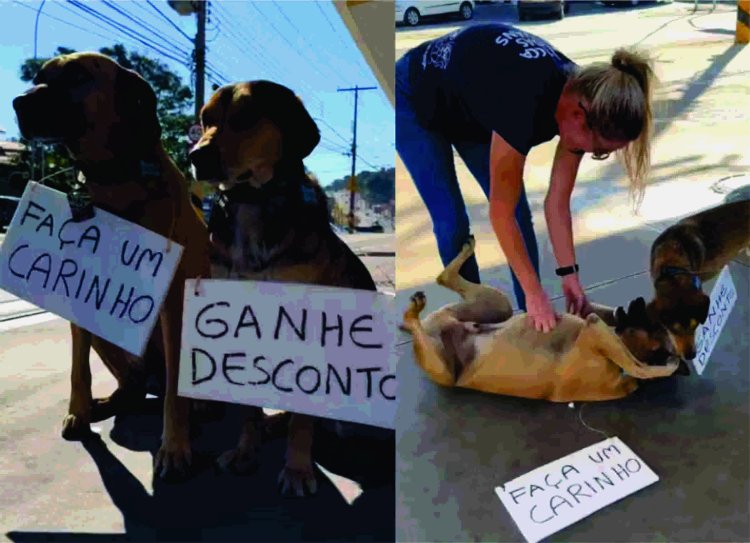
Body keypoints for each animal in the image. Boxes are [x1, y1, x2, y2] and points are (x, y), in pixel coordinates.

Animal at [12, 52, 212, 480]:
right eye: (38, 76)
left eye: (77, 76)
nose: (18, 102)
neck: (115, 180)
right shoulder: (83, 297)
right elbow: (78, 368)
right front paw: (78, 412)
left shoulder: (173, 301)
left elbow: (175, 394)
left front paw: (174, 447)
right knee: (131, 389)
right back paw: (104, 404)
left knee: (175, 386)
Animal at [189, 79, 382, 498]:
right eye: (205, 120)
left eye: (246, 117)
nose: (196, 156)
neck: (253, 201)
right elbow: (248, 410)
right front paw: (246, 451)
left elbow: (303, 421)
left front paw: (296, 469)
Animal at [406, 238, 680, 404]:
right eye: (652, 322)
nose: (641, 302)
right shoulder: (594, 326)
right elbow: (632, 357)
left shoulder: (595, 331)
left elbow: (638, 366)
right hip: (492, 311)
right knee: (439, 286)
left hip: (452, 356)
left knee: (438, 287)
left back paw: (415, 310)